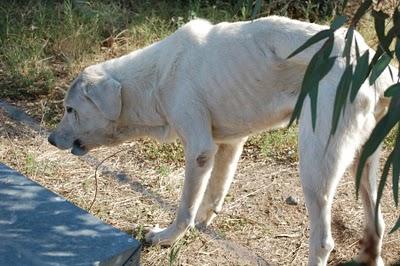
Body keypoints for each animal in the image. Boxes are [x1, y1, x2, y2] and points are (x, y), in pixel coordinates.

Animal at [47, 16, 394, 266]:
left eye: (70, 109)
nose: (49, 139)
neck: (156, 79)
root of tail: (376, 66)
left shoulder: (199, 150)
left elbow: (185, 209)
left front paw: (168, 237)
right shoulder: (230, 145)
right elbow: (212, 195)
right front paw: (202, 226)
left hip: (315, 168)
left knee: (323, 241)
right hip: (365, 164)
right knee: (377, 224)